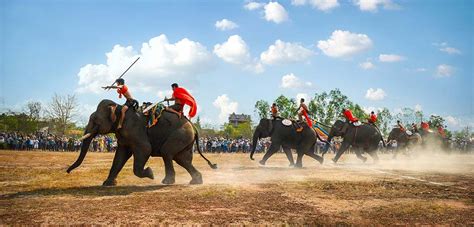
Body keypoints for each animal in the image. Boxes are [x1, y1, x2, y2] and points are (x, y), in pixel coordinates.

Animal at [65, 99, 216, 186]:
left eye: (95, 120)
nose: (67, 171)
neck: (120, 107)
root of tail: (194, 127)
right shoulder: (123, 135)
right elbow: (120, 156)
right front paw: (107, 184)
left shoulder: (135, 131)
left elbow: (145, 149)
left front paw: (150, 173)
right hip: (185, 139)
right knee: (182, 159)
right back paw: (196, 181)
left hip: (181, 135)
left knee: (167, 153)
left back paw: (167, 182)